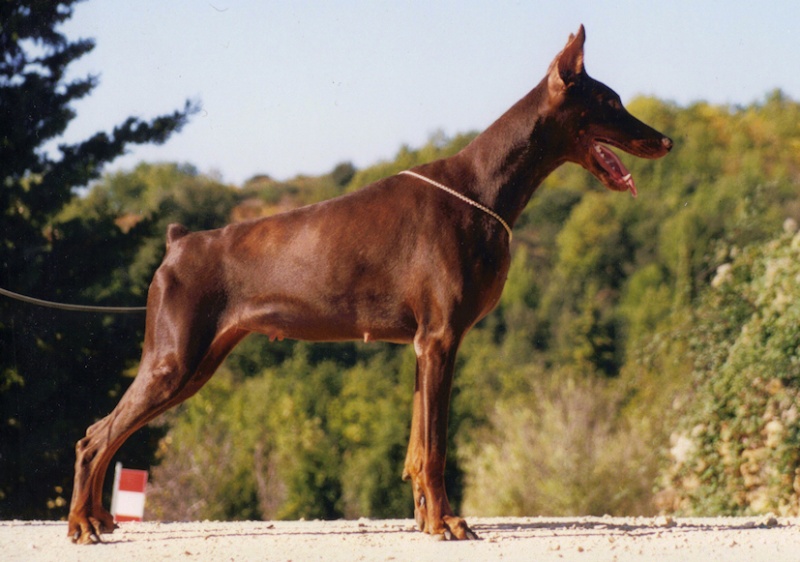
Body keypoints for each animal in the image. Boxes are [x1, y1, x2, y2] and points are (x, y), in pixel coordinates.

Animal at [69, 24, 672, 540]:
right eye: (612, 102)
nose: (666, 141)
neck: (484, 186)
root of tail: (178, 243)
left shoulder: (424, 345)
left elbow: (416, 449)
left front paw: (428, 523)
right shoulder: (440, 339)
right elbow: (435, 447)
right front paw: (449, 524)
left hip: (195, 363)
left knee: (103, 433)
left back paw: (98, 517)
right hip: (174, 360)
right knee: (95, 437)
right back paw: (81, 524)